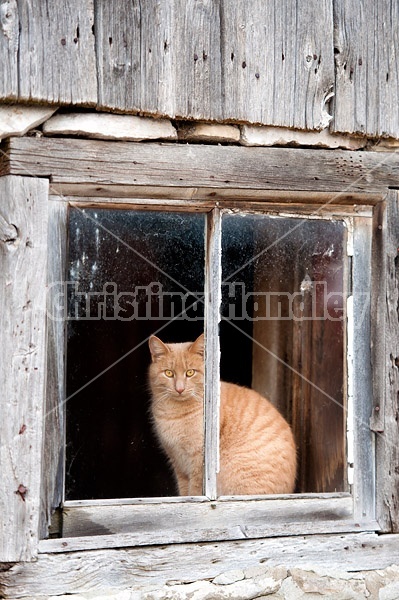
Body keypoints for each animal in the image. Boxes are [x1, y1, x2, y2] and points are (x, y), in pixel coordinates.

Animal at [149, 332, 296, 496]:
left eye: (190, 372)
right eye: (169, 373)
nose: (179, 389)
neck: (173, 414)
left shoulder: (198, 464)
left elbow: (194, 491)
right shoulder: (179, 465)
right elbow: (184, 492)